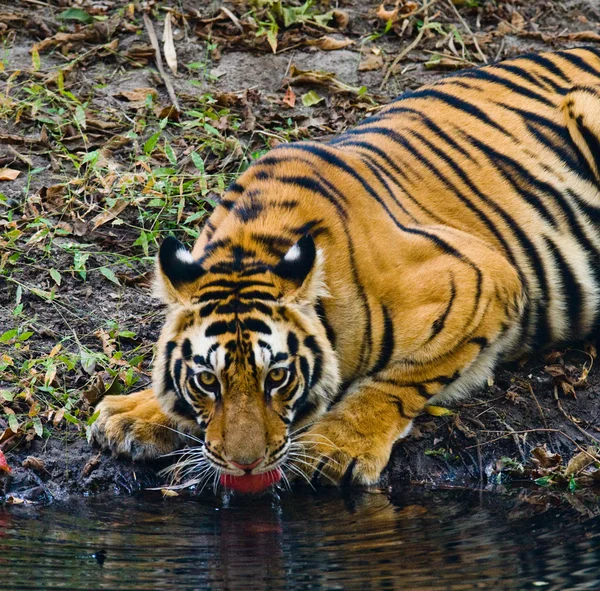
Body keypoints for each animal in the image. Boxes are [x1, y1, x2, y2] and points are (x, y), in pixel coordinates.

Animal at [90, 45, 600, 490]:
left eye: (277, 377)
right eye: (207, 381)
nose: (245, 464)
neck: (249, 246)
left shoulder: (482, 279)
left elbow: (402, 378)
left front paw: (336, 447)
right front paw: (134, 414)